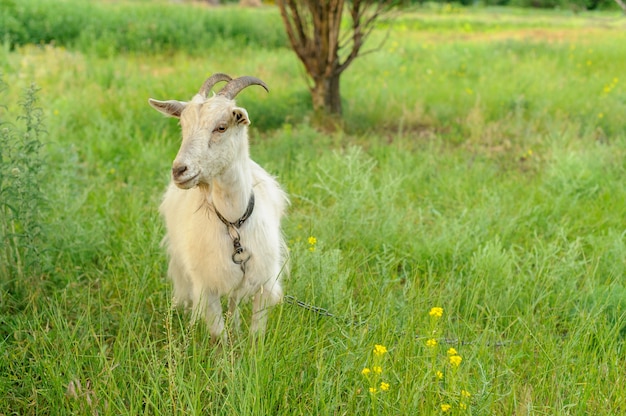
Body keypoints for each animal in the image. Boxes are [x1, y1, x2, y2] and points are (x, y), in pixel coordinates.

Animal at [149, 74, 288, 342]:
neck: (234, 222)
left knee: (234, 303)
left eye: (222, 127)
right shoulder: (207, 285)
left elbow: (256, 334)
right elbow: (218, 336)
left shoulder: (262, 282)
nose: (179, 170)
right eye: (183, 126)